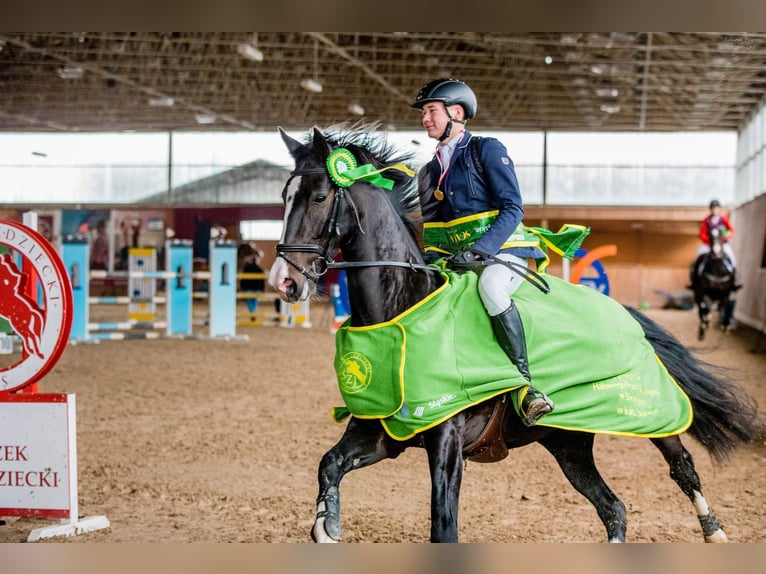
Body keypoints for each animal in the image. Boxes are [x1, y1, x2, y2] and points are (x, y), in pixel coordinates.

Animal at [268, 126, 760, 544]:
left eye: (318, 197)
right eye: (284, 196)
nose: (283, 282)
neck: (402, 307)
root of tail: (626, 315)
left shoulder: (446, 441)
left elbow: (443, 528)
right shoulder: (385, 431)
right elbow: (329, 465)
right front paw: (327, 524)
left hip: (652, 413)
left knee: (682, 465)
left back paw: (714, 530)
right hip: (568, 442)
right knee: (614, 509)